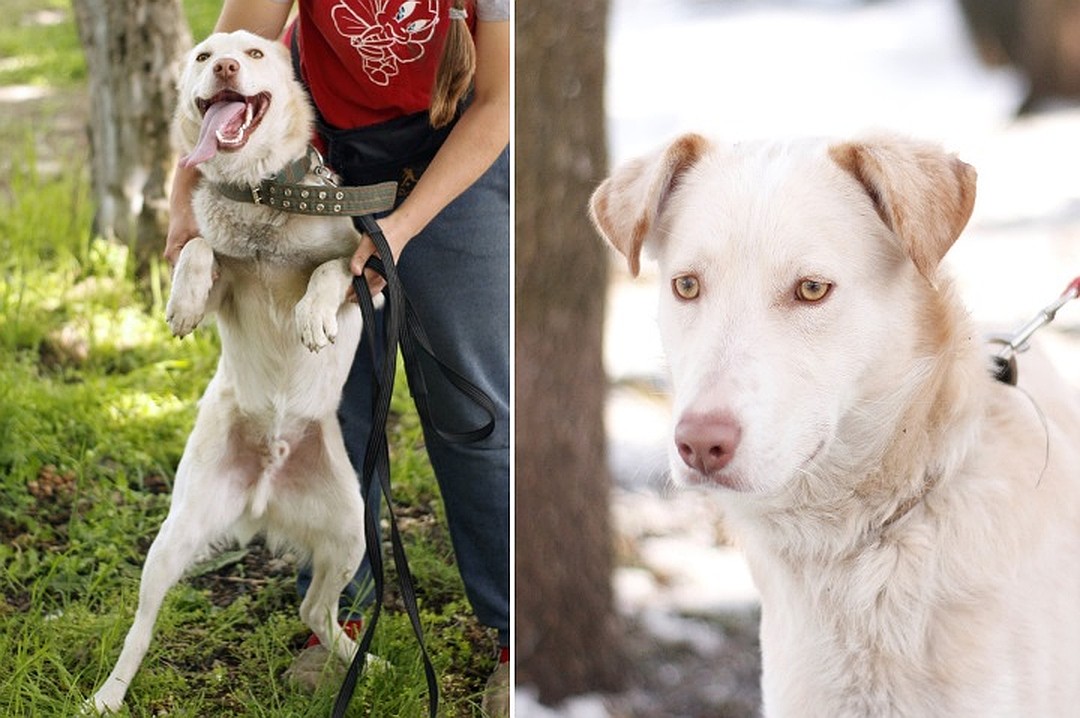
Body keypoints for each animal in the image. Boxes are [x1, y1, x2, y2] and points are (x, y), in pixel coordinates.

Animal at [89, 29, 375, 712]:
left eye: (252, 54)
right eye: (202, 56)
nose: (221, 67)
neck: (263, 194)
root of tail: (262, 494)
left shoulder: (366, 282)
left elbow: (330, 270)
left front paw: (311, 317)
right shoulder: (222, 277)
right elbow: (197, 247)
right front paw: (183, 301)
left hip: (352, 533)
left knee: (314, 611)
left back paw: (369, 663)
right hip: (173, 537)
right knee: (141, 630)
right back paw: (107, 696)